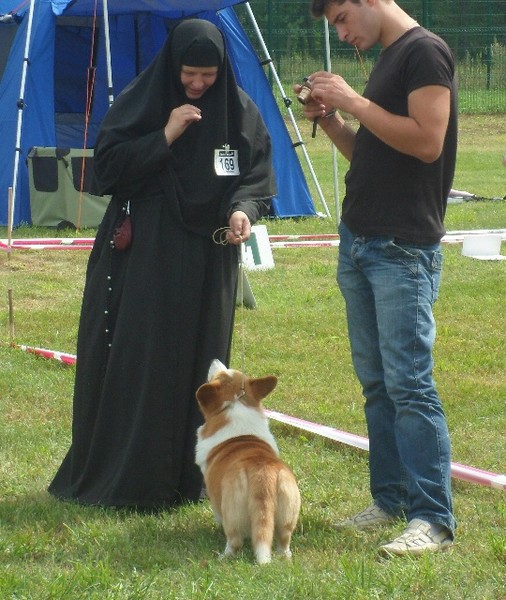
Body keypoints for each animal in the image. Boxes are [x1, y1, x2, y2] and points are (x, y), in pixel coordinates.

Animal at [196, 358, 300, 564]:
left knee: (234, 541)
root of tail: (263, 476)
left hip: (232, 510)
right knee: (284, 541)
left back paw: (223, 557)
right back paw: (285, 557)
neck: (237, 404)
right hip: (288, 509)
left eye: (217, 376)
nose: (216, 360)